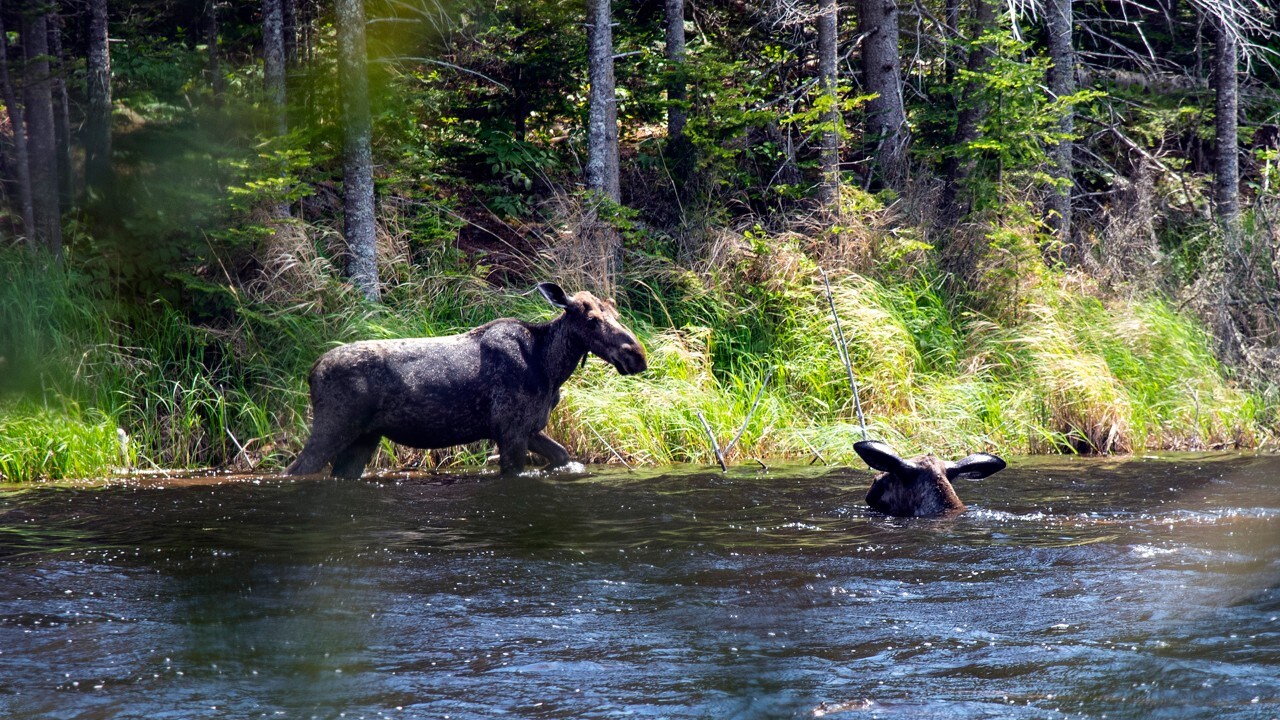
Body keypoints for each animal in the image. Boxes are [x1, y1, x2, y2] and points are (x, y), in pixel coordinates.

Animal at [285, 281, 645, 476]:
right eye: (591, 319)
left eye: (616, 313)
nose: (637, 355)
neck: (549, 368)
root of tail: (312, 371)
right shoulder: (510, 430)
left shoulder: (530, 428)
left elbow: (562, 456)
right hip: (333, 427)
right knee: (295, 470)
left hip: (364, 438)